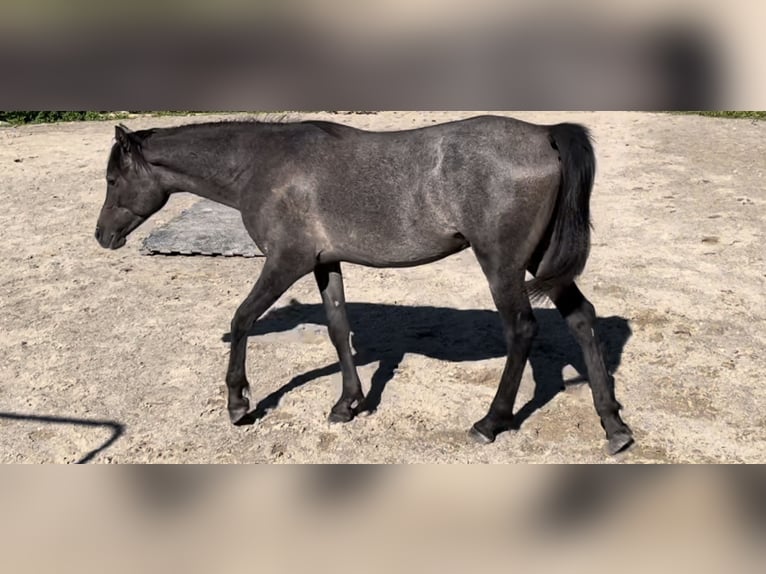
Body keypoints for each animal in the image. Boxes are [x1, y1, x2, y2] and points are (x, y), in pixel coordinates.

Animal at [94, 115, 634, 455]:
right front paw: (347, 403)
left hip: (502, 264)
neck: (262, 165)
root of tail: (545, 134)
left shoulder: (284, 262)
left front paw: (239, 403)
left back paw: (490, 422)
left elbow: (244, 318)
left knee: (521, 330)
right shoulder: (324, 263)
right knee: (582, 320)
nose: (102, 236)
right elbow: (339, 330)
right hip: (541, 263)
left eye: (113, 180)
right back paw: (613, 425)